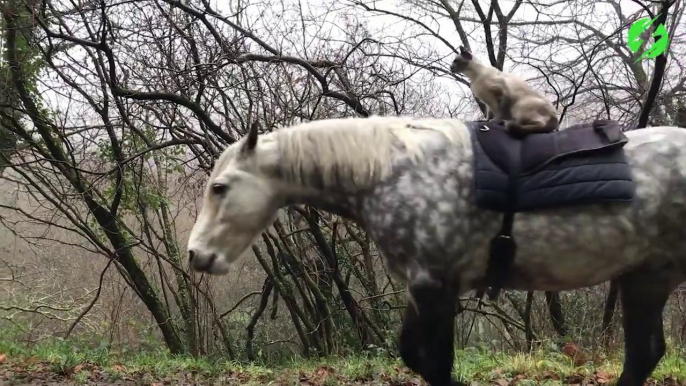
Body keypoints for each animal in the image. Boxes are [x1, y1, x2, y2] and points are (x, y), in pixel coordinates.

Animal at [187, 115, 686, 386]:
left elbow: (436, 361)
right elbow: (415, 355)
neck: (393, 171)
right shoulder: (422, 284)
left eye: (220, 187)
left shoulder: (437, 286)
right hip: (646, 276)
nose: (196, 255)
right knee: (644, 355)